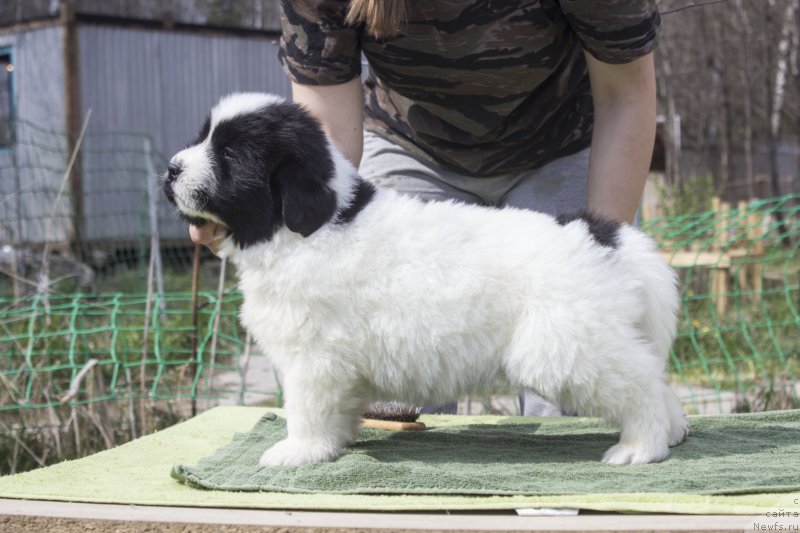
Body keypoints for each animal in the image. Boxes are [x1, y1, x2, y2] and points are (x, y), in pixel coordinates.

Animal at [164, 91, 688, 466]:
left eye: (229, 155)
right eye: (204, 137)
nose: (170, 169)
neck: (309, 227)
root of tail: (606, 237)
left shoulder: (314, 357)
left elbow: (307, 408)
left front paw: (298, 451)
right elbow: (337, 408)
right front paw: (335, 443)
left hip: (566, 348)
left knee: (640, 385)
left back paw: (641, 447)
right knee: (654, 377)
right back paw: (674, 431)